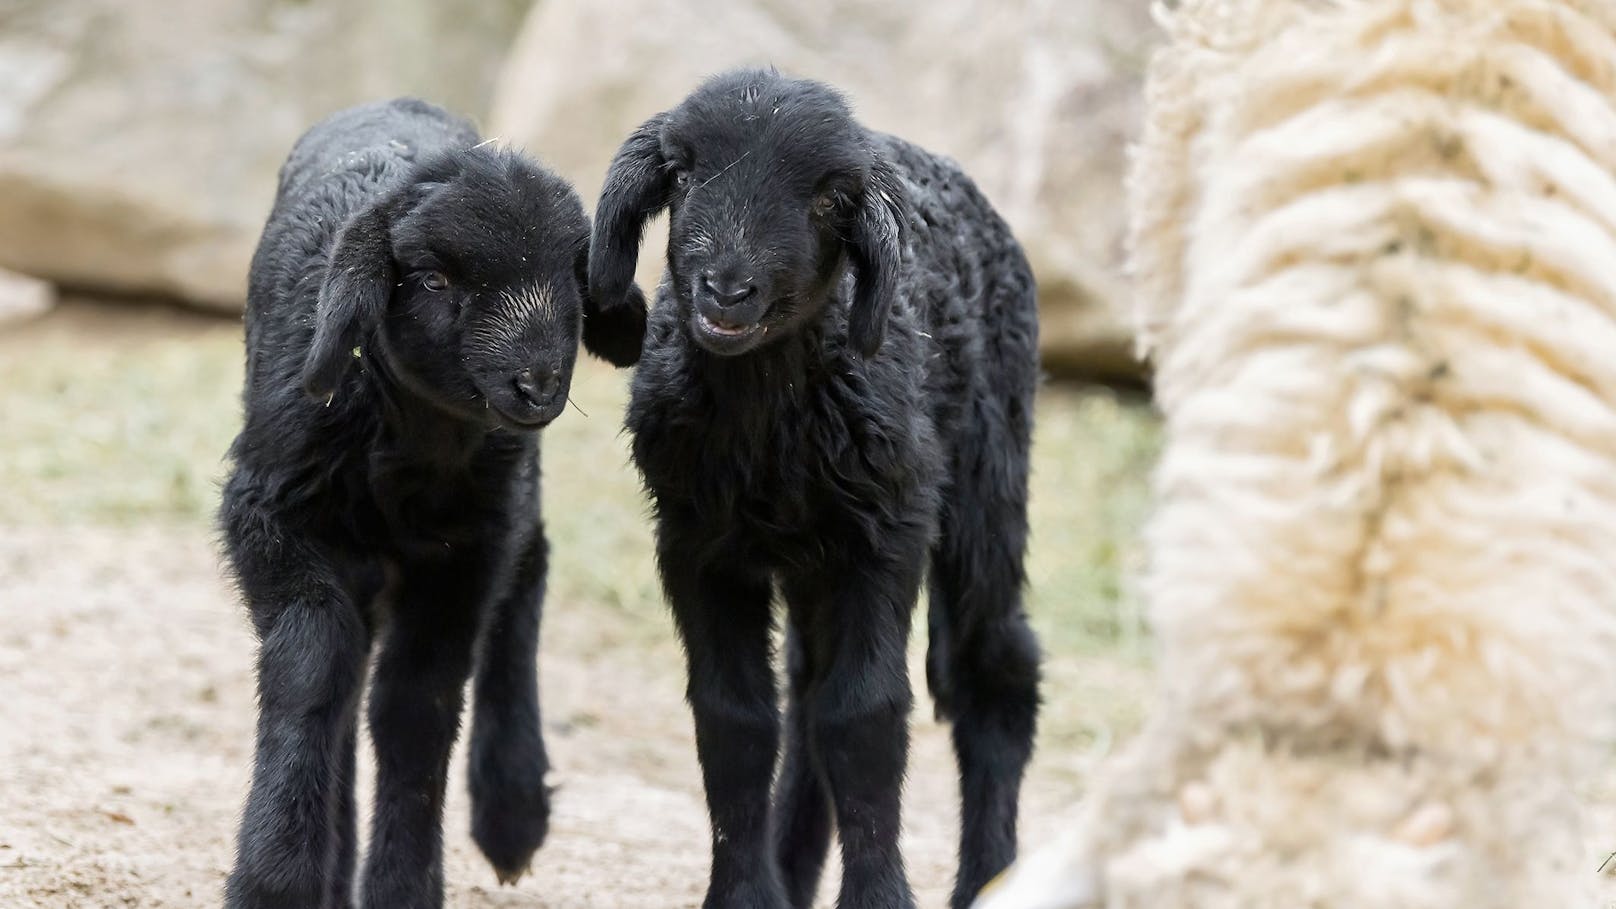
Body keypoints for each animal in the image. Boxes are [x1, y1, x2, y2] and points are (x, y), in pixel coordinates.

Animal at [218, 97, 639, 905]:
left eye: (572, 277)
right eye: (436, 279)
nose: (537, 384)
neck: (413, 438)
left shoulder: (466, 549)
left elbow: (418, 705)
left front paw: (401, 884)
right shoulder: (270, 514)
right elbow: (315, 667)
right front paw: (277, 877)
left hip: (509, 494)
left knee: (529, 569)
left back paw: (512, 810)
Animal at [588, 69, 1040, 905]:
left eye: (829, 200)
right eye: (684, 175)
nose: (726, 288)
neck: (769, 429)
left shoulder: (886, 533)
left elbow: (864, 717)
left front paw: (879, 896)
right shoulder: (696, 544)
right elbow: (735, 718)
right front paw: (742, 892)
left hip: (988, 485)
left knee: (996, 670)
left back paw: (988, 879)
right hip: (807, 559)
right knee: (803, 701)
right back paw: (790, 871)